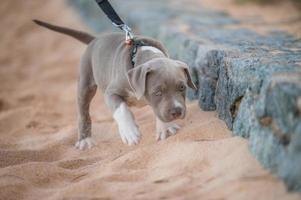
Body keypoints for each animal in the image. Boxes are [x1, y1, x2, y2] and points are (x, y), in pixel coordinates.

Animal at [34, 19, 196, 150]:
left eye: (182, 87)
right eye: (157, 92)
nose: (177, 111)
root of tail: (95, 39)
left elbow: (159, 111)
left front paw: (166, 127)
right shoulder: (111, 92)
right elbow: (122, 109)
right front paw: (130, 132)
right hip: (85, 84)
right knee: (83, 113)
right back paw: (85, 140)